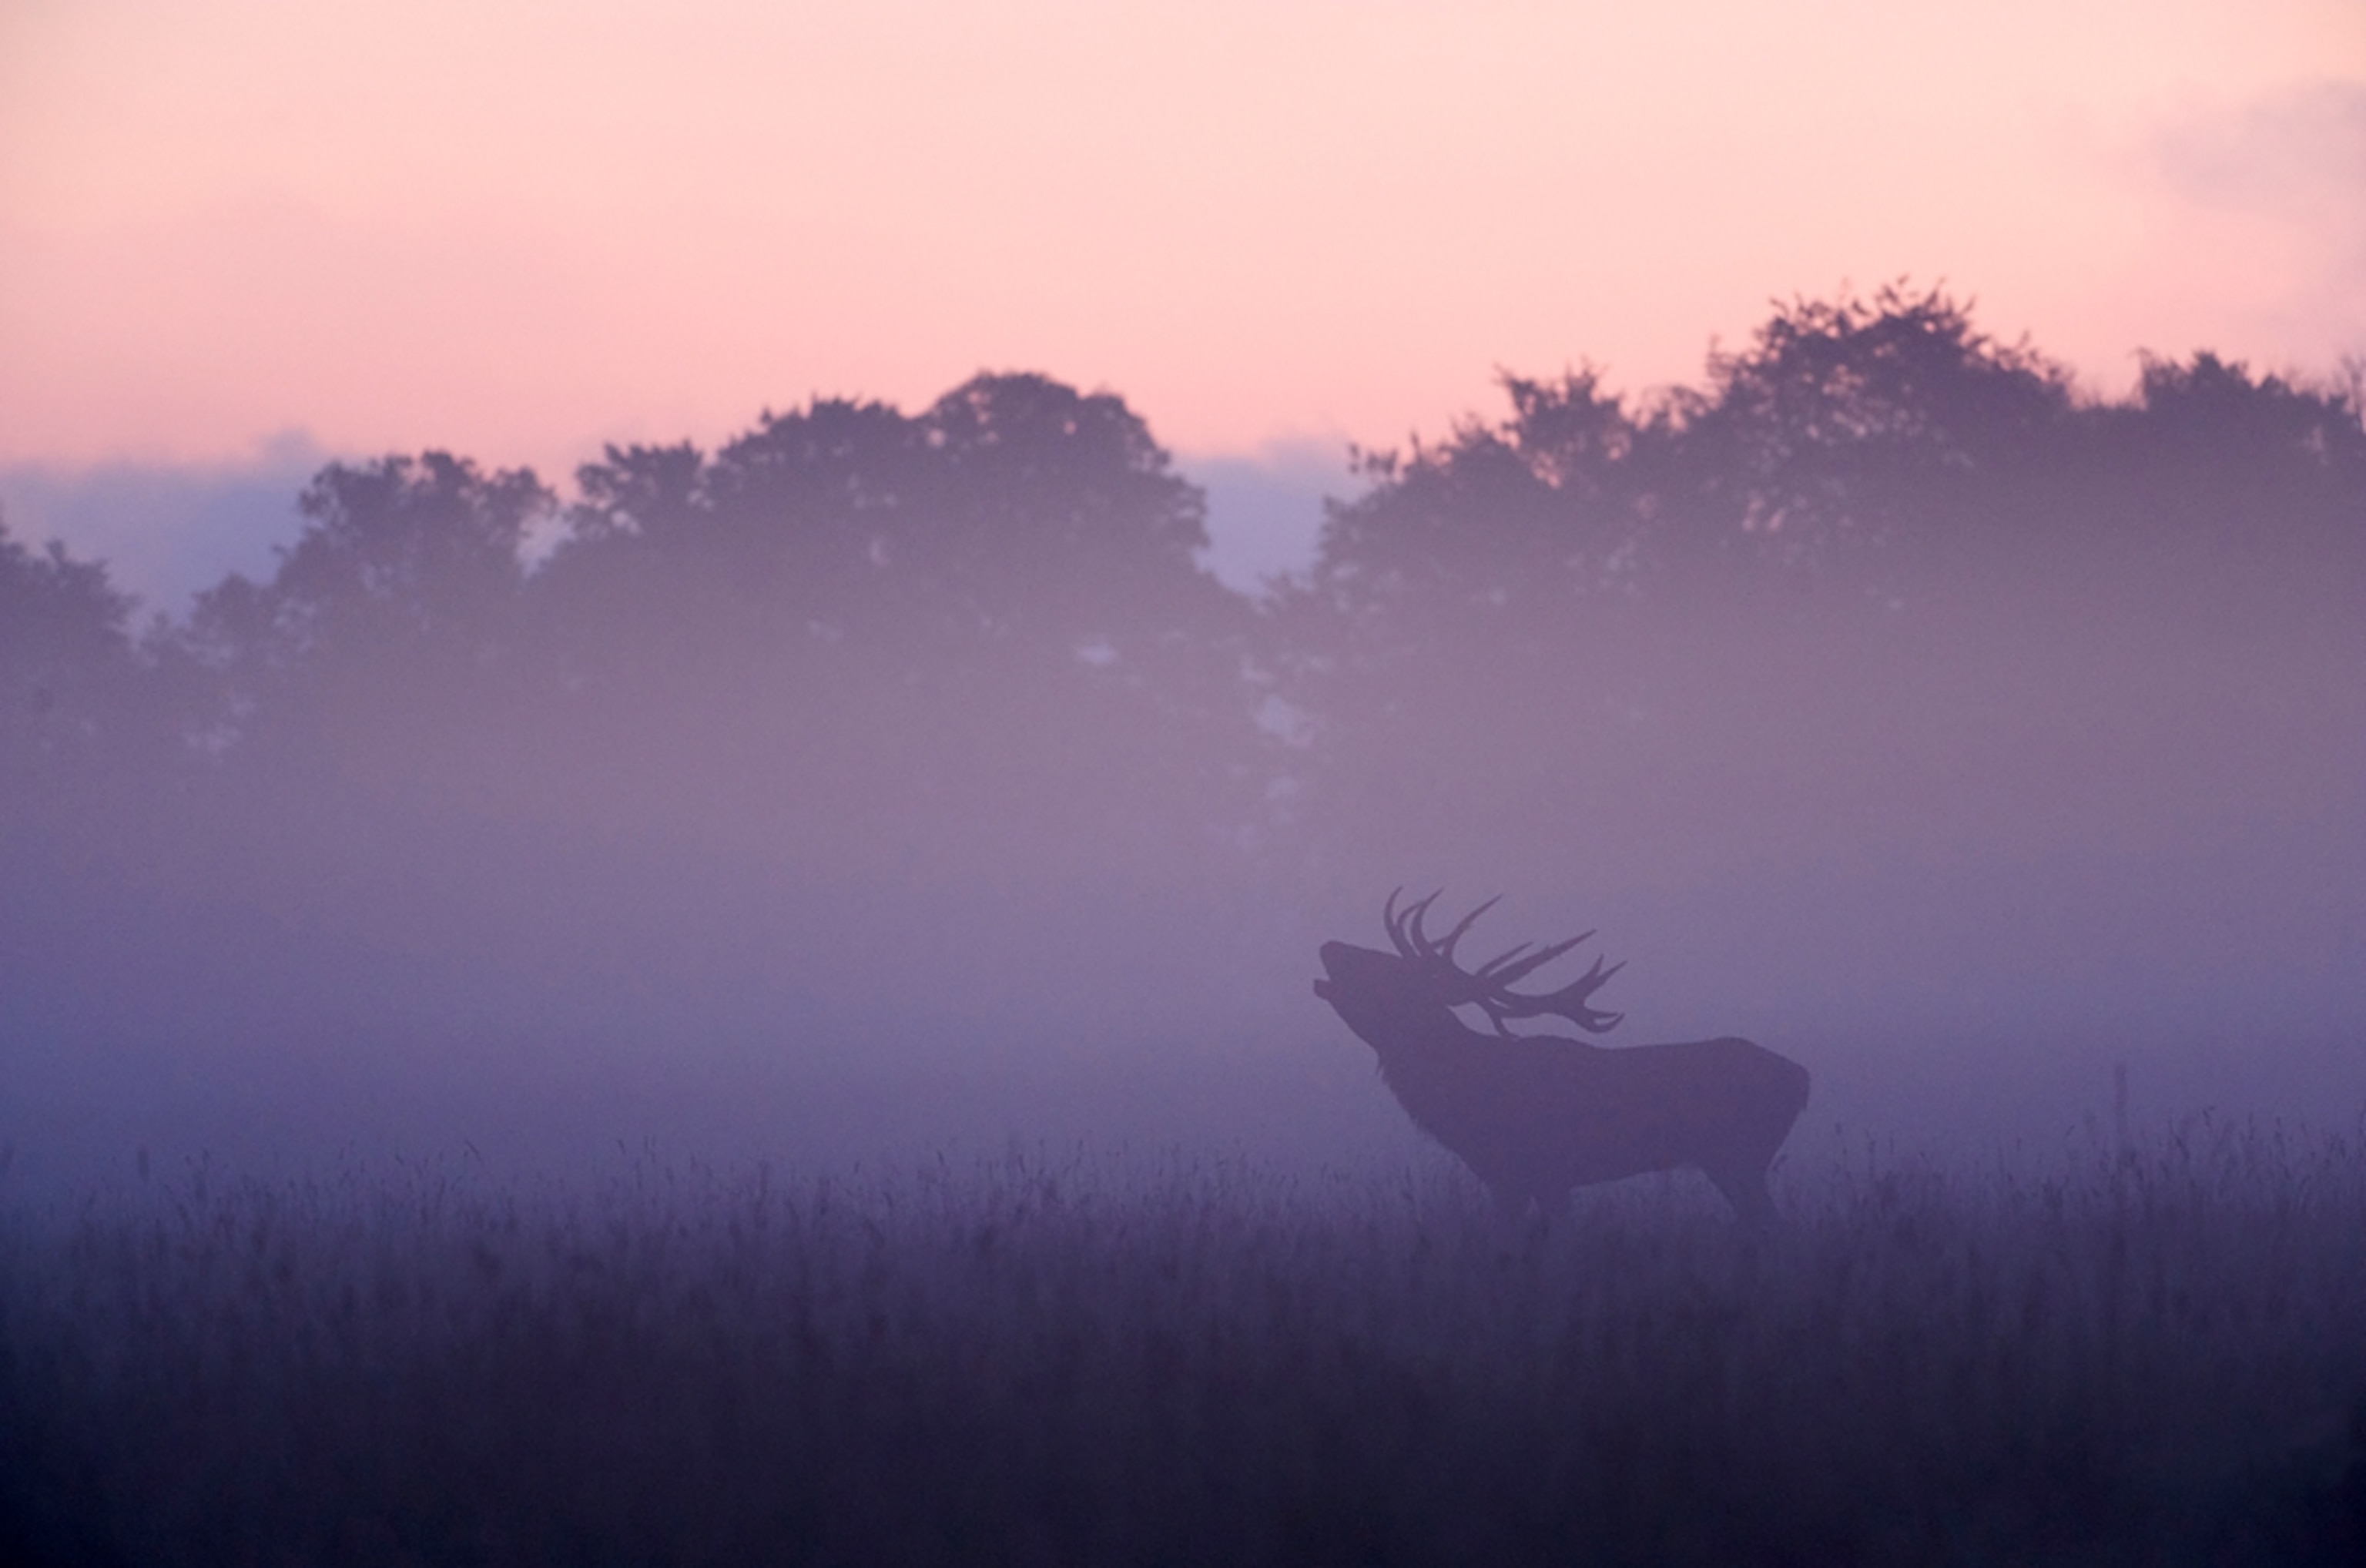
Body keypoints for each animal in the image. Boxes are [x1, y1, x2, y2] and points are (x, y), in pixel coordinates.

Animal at [1314, 891, 1810, 1224]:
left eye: (1390, 972)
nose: (1329, 946)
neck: (1465, 1099)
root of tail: (1803, 1078)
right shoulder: (1510, 1178)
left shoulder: (1541, 1172)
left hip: (1741, 1157)